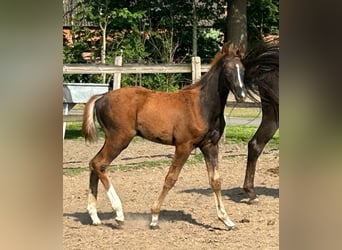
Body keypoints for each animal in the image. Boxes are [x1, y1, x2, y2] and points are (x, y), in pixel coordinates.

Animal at [82, 47, 246, 229]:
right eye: (228, 71)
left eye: (243, 69)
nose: (242, 95)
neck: (201, 106)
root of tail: (102, 97)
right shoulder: (184, 145)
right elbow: (170, 178)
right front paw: (154, 217)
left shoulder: (210, 145)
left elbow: (215, 181)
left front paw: (227, 220)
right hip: (119, 139)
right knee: (99, 164)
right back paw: (119, 214)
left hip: (111, 139)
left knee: (93, 164)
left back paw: (95, 216)